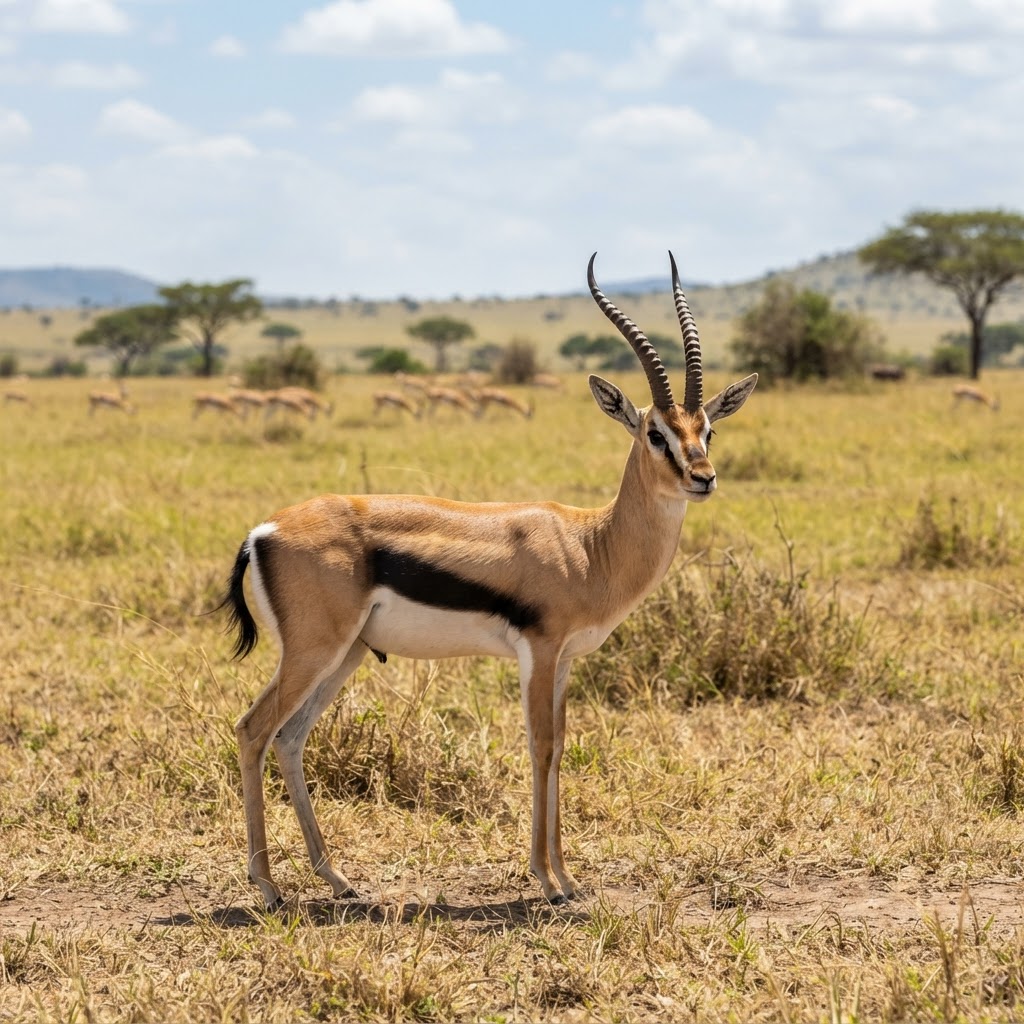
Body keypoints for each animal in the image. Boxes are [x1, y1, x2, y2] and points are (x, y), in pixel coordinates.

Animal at [219, 252, 757, 910]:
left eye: (707, 430)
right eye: (655, 432)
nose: (703, 477)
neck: (589, 545)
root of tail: (262, 530)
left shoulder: (566, 660)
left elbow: (559, 747)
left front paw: (568, 878)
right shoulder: (540, 651)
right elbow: (541, 747)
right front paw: (548, 881)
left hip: (344, 655)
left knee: (290, 739)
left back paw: (337, 878)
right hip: (313, 651)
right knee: (253, 730)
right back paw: (268, 886)